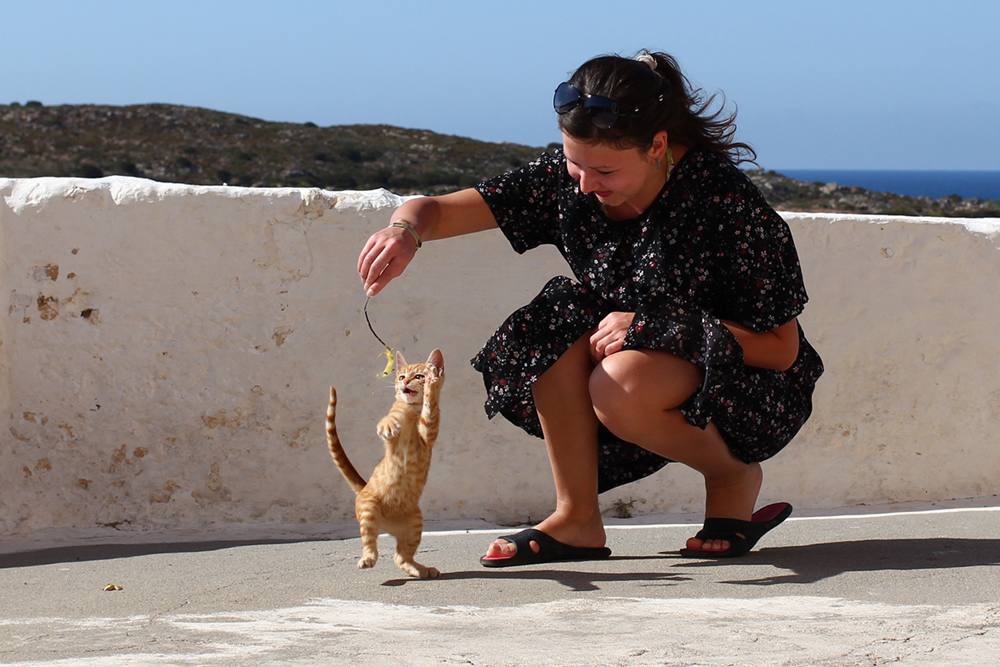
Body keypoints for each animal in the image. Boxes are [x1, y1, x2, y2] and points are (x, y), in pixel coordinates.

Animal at [326, 350, 444, 580]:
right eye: (401, 376)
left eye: (417, 376)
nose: (404, 382)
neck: (413, 411)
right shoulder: (399, 418)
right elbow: (388, 419)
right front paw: (387, 426)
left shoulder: (429, 433)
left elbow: (430, 408)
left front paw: (432, 384)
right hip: (369, 510)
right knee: (371, 543)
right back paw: (368, 559)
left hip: (415, 524)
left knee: (400, 557)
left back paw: (422, 570)